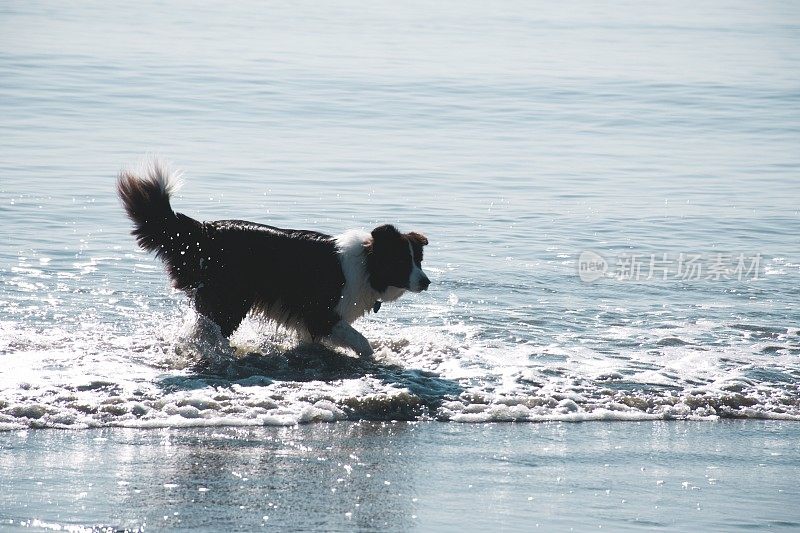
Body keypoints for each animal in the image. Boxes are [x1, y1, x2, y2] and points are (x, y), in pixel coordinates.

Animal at [115, 159, 432, 358]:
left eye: (419, 260)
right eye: (402, 261)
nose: (427, 282)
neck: (368, 265)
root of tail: (206, 230)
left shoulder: (311, 322)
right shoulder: (321, 314)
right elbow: (362, 342)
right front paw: (371, 357)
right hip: (230, 300)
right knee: (208, 333)